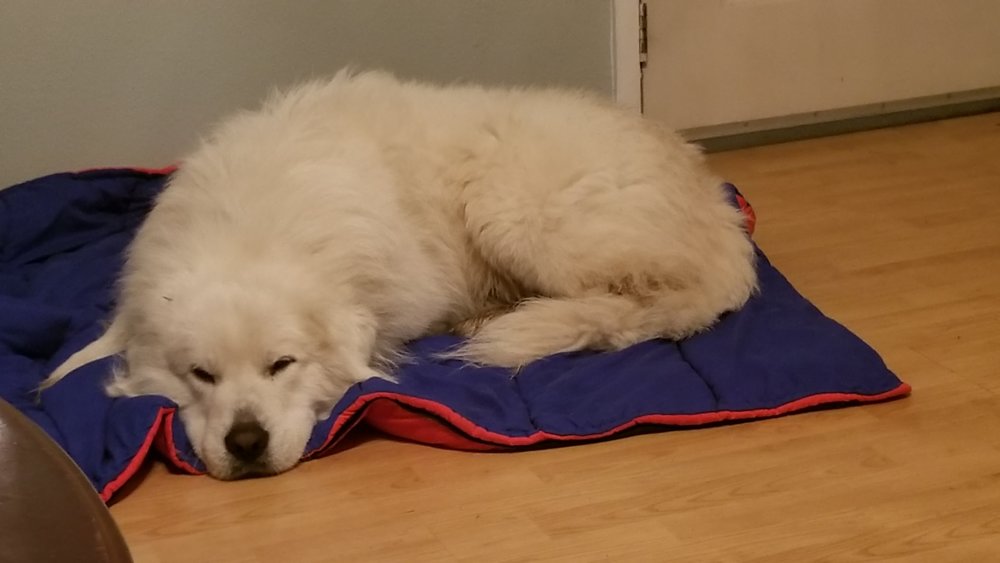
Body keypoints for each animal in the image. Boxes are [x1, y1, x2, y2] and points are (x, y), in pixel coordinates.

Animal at [42, 70, 757, 479]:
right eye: (201, 375)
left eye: (282, 365)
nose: (246, 443)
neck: (252, 226)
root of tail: (718, 207)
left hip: (515, 214)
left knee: (636, 299)